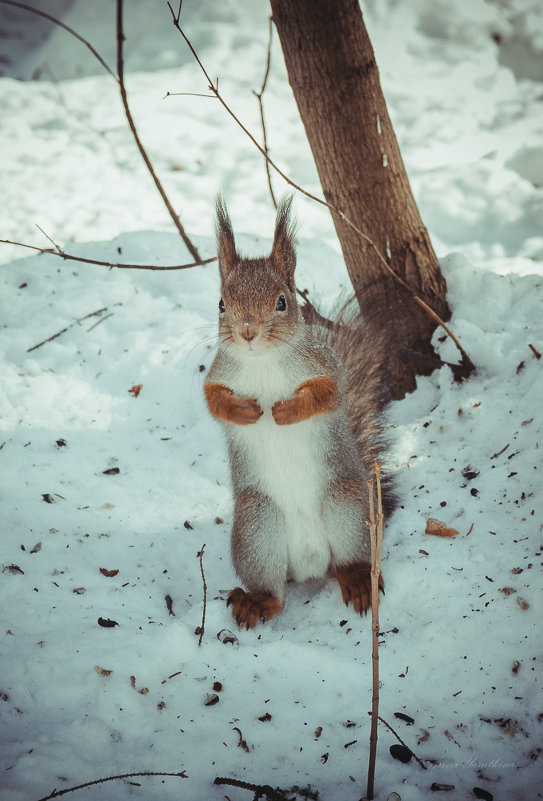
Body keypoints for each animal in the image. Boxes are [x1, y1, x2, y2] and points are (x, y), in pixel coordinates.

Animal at [205, 197, 396, 628]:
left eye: (282, 301)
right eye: (222, 303)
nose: (247, 331)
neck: (262, 361)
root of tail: (310, 562)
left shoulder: (326, 367)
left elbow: (328, 393)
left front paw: (286, 410)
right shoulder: (217, 374)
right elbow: (214, 401)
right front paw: (246, 410)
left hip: (345, 509)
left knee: (348, 562)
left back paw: (358, 580)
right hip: (258, 531)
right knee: (275, 592)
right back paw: (256, 602)